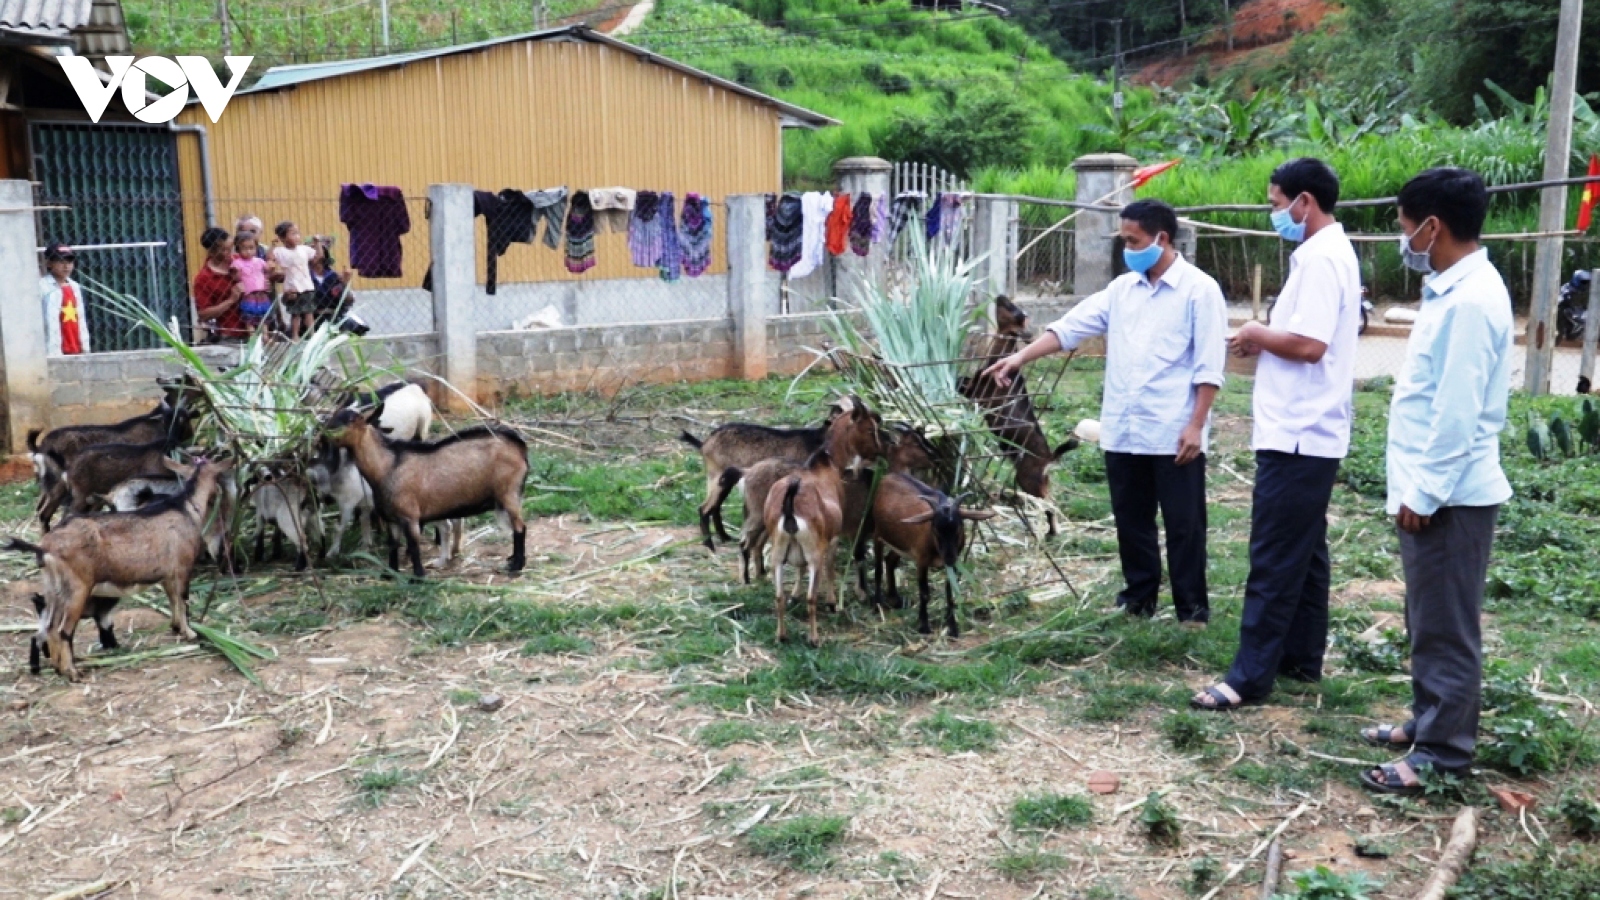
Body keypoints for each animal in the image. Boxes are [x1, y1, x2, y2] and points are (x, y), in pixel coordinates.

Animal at [9, 454, 233, 679]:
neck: (185, 508)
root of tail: (45, 547)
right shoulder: (183, 567)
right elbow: (183, 601)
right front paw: (191, 633)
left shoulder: (167, 574)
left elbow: (173, 600)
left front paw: (177, 628)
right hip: (77, 589)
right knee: (62, 630)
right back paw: (72, 673)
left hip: (54, 590)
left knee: (49, 627)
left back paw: (58, 668)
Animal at [329, 400, 531, 573]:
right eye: (336, 415)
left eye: (351, 420)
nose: (326, 432)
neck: (388, 464)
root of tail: (519, 446)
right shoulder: (391, 518)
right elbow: (393, 545)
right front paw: (390, 574)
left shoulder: (410, 515)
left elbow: (413, 546)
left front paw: (418, 577)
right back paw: (511, 560)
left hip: (509, 492)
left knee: (520, 527)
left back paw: (516, 566)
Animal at [758, 403, 883, 640]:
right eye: (870, 429)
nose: (878, 452)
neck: (825, 465)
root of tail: (790, 505)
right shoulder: (831, 539)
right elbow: (830, 567)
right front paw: (833, 603)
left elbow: (799, 569)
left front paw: (795, 595)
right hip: (812, 550)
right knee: (812, 597)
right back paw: (814, 638)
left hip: (778, 551)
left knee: (778, 596)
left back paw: (782, 635)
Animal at [870, 474, 992, 634]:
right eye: (935, 529)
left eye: (959, 528)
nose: (949, 558)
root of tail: (888, 476)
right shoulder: (921, 560)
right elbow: (924, 593)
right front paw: (924, 626)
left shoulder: (953, 562)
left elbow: (950, 593)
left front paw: (952, 627)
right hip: (878, 534)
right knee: (878, 567)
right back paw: (877, 604)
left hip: (901, 545)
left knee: (890, 560)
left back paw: (894, 599)